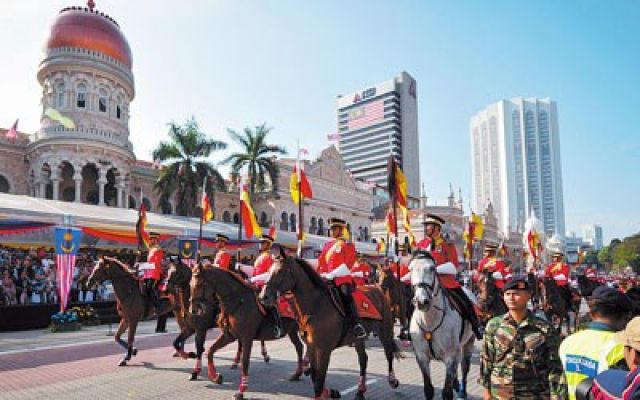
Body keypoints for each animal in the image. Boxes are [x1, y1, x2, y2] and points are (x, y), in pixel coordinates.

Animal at [191, 266, 306, 400]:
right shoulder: (229, 336)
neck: (239, 302)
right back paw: (297, 374)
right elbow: (210, 351)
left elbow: (245, 362)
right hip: (292, 331)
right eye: (190, 284)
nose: (193, 309)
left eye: (199, 284)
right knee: (299, 347)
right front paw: (215, 377)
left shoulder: (247, 338)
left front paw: (241, 391)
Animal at [260, 255, 401, 400]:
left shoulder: (324, 350)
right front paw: (330, 392)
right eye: (269, 270)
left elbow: (319, 381)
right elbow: (315, 376)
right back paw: (360, 391)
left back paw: (392, 380)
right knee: (363, 360)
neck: (316, 305)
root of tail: (377, 289)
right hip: (358, 338)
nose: (264, 296)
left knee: (388, 354)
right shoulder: (312, 347)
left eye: (280, 271)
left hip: (385, 331)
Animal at [409, 250, 475, 400]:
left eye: (432, 268)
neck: (429, 320)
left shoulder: (450, 357)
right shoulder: (422, 357)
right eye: (411, 269)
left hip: (468, 343)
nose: (422, 301)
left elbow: (446, 392)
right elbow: (428, 389)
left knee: (464, 367)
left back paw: (462, 390)